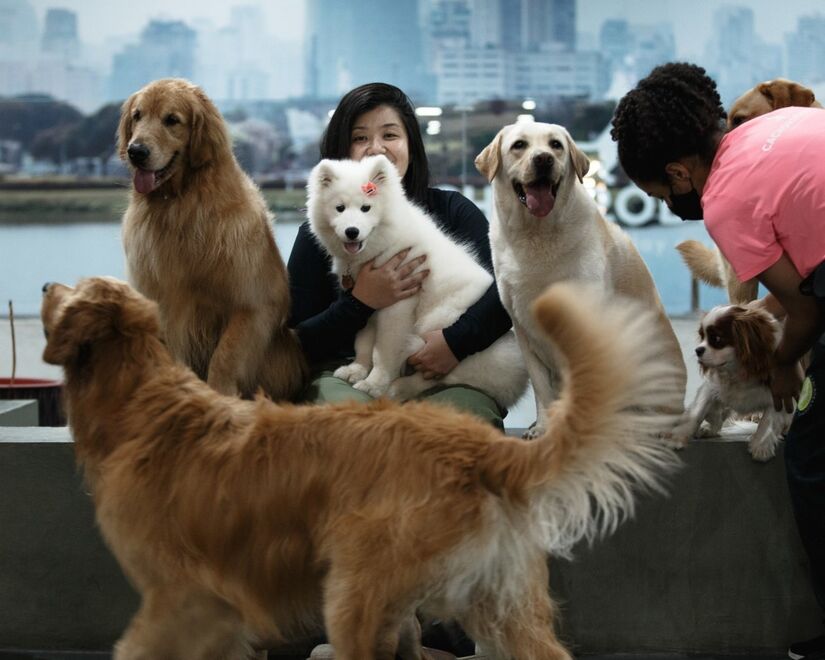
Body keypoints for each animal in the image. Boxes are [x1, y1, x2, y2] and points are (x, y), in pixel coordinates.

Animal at [40, 278, 684, 660]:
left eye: (70, 293)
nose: (45, 282)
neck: (143, 401)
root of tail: (477, 445)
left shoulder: (184, 597)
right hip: (497, 605)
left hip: (354, 597)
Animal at [116, 77, 306, 400]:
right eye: (137, 116)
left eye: (172, 120)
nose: (135, 151)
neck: (181, 206)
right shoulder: (163, 303)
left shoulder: (254, 303)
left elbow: (225, 356)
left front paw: (221, 395)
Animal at [306, 153, 524, 408]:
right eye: (339, 208)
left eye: (366, 208)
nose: (352, 231)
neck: (384, 245)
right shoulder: (366, 304)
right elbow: (363, 343)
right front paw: (356, 370)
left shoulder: (397, 307)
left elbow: (383, 351)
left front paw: (373, 384)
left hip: (439, 322)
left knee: (438, 374)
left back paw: (396, 388)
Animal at [474, 124, 684, 440]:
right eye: (519, 145)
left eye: (556, 145)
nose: (543, 159)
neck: (536, 235)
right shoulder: (524, 331)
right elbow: (542, 389)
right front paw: (543, 427)